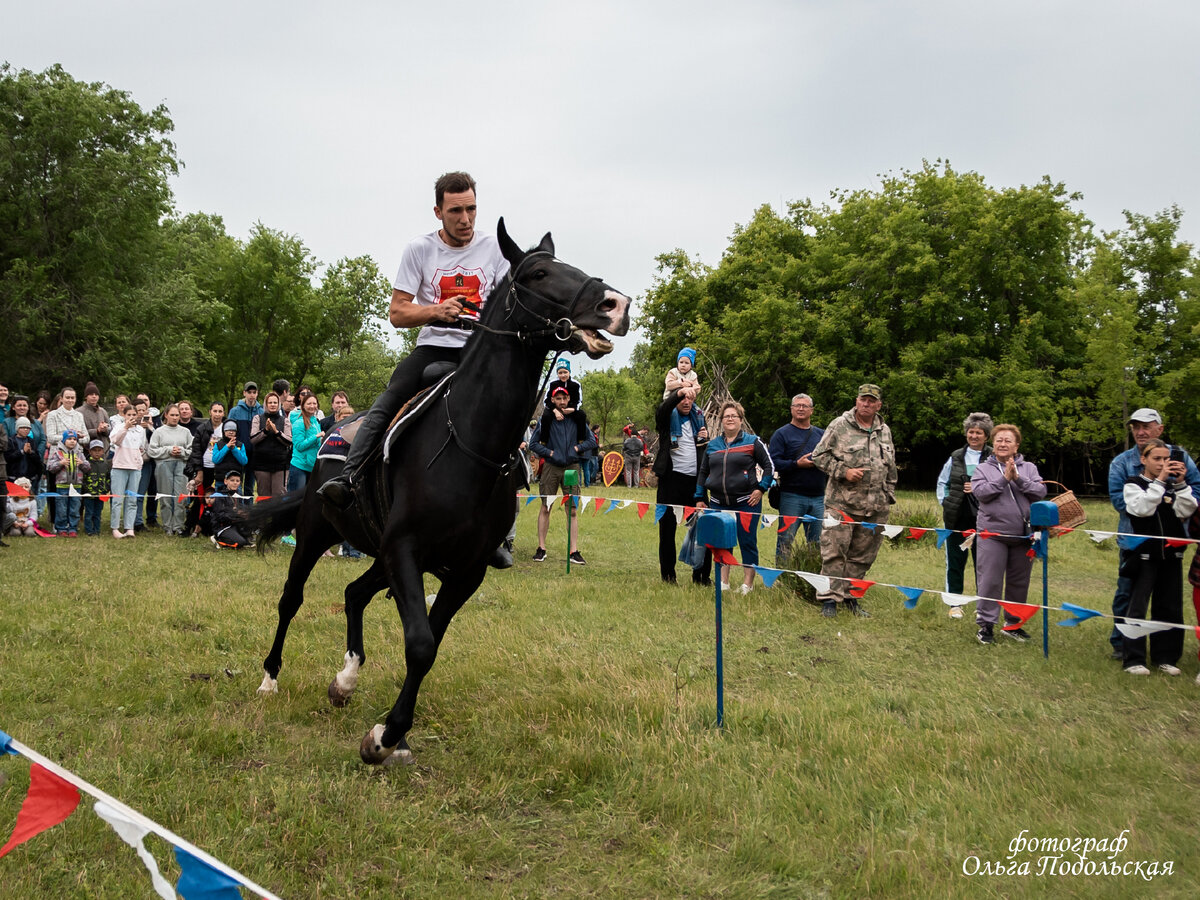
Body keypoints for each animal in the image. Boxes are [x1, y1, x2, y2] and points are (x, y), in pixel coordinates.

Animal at [247, 222, 633, 763]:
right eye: (538, 273)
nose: (616, 304)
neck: (468, 442)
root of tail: (333, 431)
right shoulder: (406, 549)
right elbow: (420, 643)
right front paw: (385, 737)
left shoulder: (463, 569)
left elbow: (429, 642)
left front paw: (394, 733)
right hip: (315, 534)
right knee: (291, 599)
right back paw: (269, 679)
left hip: (381, 553)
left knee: (353, 593)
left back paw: (345, 680)